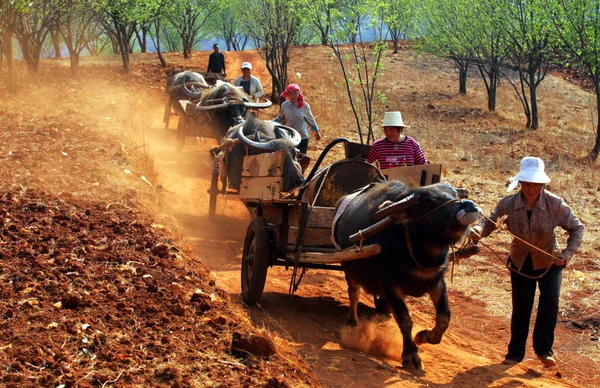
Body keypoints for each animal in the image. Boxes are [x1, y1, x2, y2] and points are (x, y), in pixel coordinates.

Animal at [332, 182, 482, 370]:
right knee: (354, 293)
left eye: (454, 193)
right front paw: (411, 355)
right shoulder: (390, 285)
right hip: (348, 265)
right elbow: (405, 319)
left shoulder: (437, 282)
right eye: (428, 201)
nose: (469, 206)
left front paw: (424, 336)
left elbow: (444, 317)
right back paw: (352, 321)